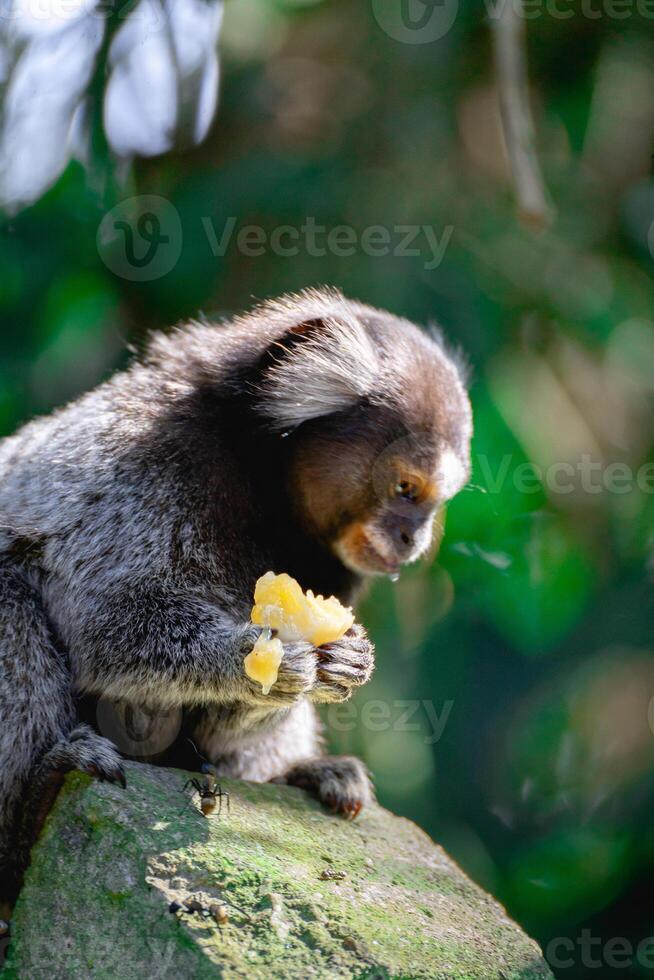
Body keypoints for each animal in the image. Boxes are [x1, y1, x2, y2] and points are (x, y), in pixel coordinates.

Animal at [0, 288, 472, 900]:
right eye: (405, 488)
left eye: (437, 502)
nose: (412, 540)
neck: (261, 488)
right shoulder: (137, 463)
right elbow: (107, 629)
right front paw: (259, 656)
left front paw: (341, 661)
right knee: (11, 599)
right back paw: (39, 793)